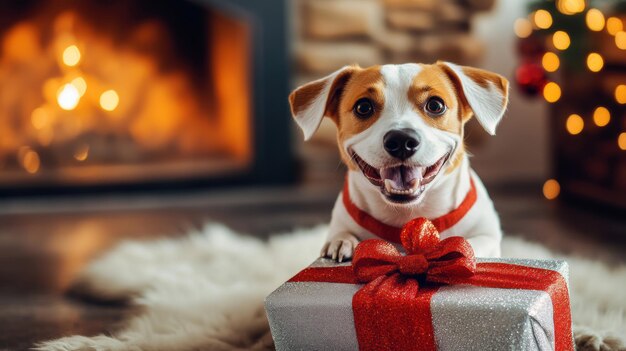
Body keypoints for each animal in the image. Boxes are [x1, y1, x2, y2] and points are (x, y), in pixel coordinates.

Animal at [288, 62, 508, 262]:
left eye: (435, 105)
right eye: (363, 107)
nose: (401, 140)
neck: (407, 215)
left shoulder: (488, 237)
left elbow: (473, 241)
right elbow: (341, 233)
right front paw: (342, 241)